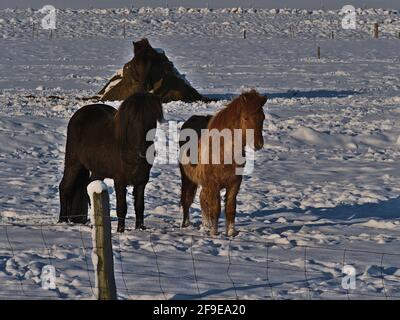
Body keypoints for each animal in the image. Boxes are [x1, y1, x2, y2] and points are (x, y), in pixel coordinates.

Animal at [58, 92, 164, 232]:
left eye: (152, 119)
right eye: (133, 120)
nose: (144, 151)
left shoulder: (142, 181)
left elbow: (139, 206)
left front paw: (140, 228)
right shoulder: (120, 180)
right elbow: (122, 207)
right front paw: (120, 230)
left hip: (98, 170)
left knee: (88, 186)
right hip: (73, 162)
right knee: (65, 187)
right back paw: (62, 221)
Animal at [180, 89, 268, 236]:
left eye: (262, 118)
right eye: (245, 118)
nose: (258, 144)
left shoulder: (234, 183)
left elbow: (230, 208)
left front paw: (231, 233)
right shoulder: (214, 184)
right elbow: (216, 208)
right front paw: (214, 233)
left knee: (202, 199)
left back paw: (206, 225)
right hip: (188, 178)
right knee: (187, 199)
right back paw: (186, 224)